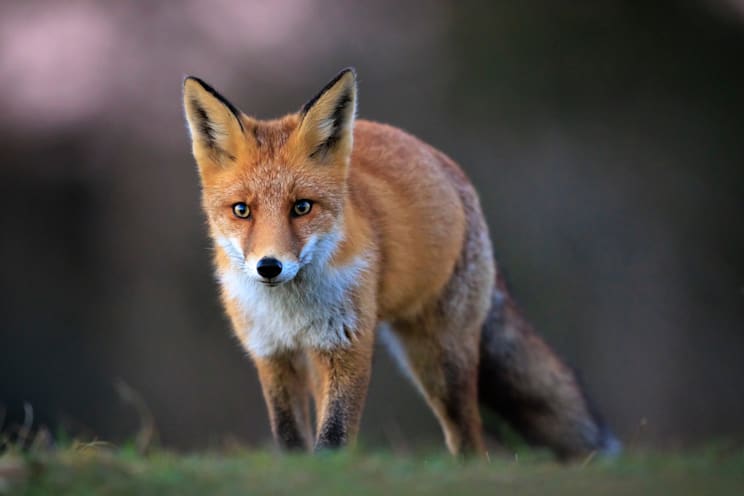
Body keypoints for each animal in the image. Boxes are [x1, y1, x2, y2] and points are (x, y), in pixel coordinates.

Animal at [182, 68, 620, 459]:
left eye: (302, 207)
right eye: (242, 211)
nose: (269, 267)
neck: (291, 311)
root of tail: (444, 163)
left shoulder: (347, 345)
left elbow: (334, 438)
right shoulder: (272, 353)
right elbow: (291, 439)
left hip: (440, 362)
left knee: (469, 440)